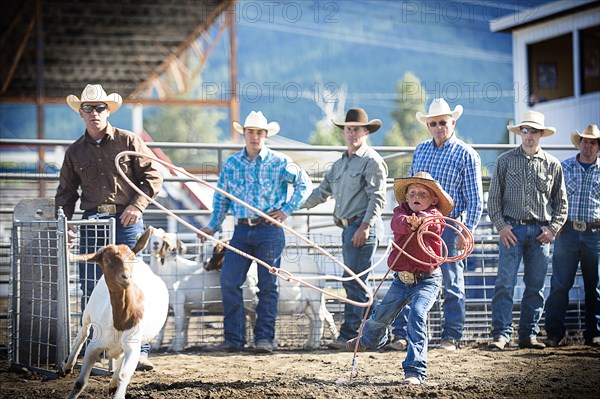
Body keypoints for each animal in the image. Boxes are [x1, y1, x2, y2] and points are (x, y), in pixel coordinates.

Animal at [60, 228, 168, 399]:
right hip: (88, 312)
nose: (126, 277)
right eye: (107, 260)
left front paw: (117, 386)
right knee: (83, 333)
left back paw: (113, 382)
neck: (122, 320)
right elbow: (79, 382)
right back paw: (67, 366)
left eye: (132, 258)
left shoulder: (133, 345)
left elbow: (124, 373)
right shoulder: (94, 346)